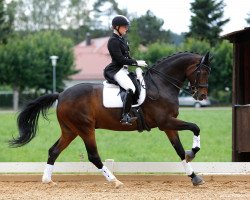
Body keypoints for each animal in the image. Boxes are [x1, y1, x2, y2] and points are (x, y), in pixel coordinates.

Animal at [9, 51, 211, 188]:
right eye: (202, 72)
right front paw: (193, 151)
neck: (161, 84)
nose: (201, 96)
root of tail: (61, 94)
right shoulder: (165, 122)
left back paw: (47, 180)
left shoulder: (169, 124)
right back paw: (115, 181)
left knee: (54, 151)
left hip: (70, 130)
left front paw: (194, 175)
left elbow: (179, 150)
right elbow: (196, 127)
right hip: (85, 128)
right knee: (93, 156)